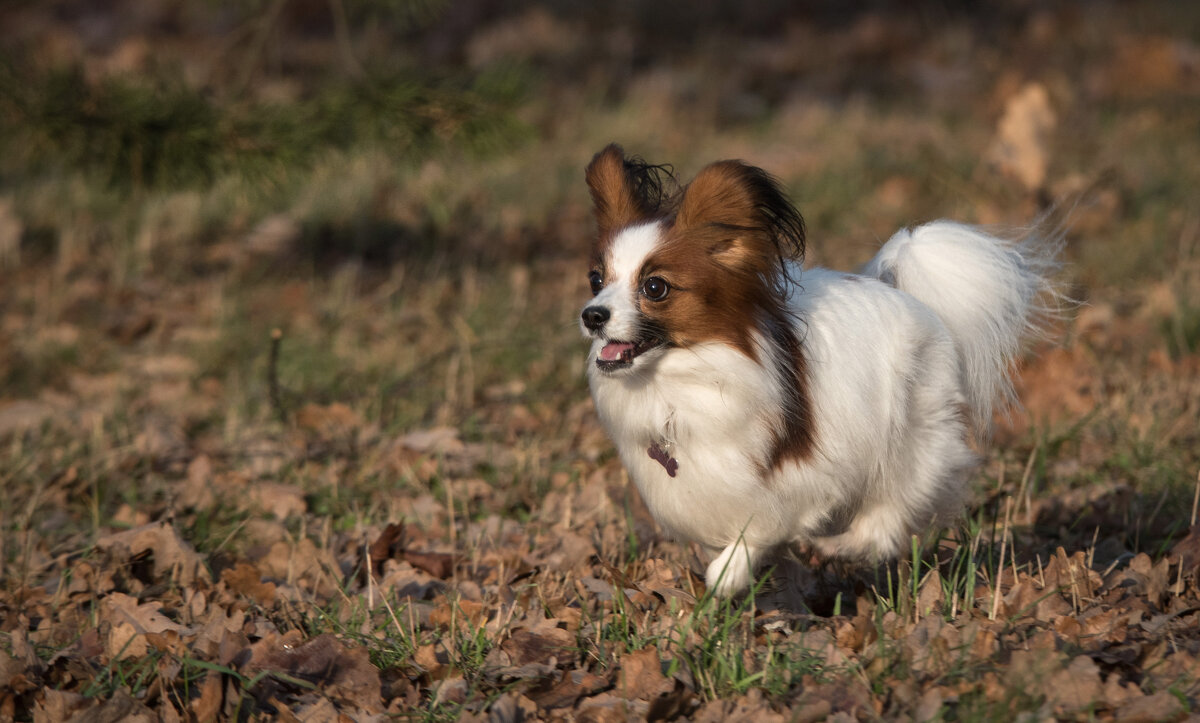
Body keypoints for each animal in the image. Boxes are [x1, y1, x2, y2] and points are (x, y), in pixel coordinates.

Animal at [580, 143, 1060, 593]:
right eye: (596, 280)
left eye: (655, 287)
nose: (592, 315)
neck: (681, 378)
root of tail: (912, 298)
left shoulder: (792, 479)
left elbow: (758, 530)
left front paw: (726, 578)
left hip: (910, 442)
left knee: (884, 521)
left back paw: (833, 548)